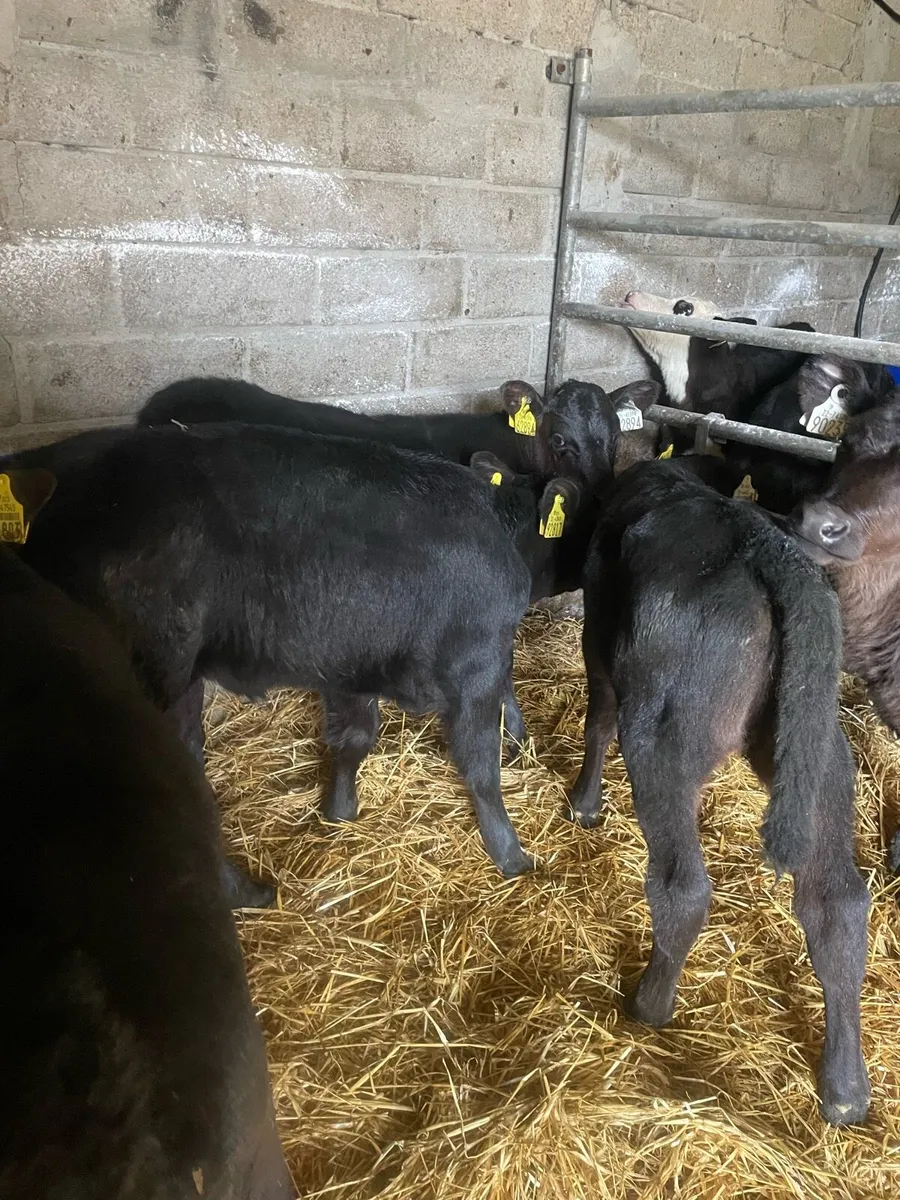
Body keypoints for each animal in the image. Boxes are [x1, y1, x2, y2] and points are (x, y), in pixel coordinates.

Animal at [4, 422, 599, 878]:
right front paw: (513, 857)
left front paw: (339, 811)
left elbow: (354, 739)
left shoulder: (352, 664)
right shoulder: (478, 663)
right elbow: (481, 766)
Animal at [569, 458, 870, 1127]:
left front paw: (584, 802)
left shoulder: (599, 639)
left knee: (682, 887)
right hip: (821, 758)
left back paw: (650, 1004)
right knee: (836, 904)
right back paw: (845, 1088)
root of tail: (771, 554)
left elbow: (597, 716)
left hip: (663, 733)